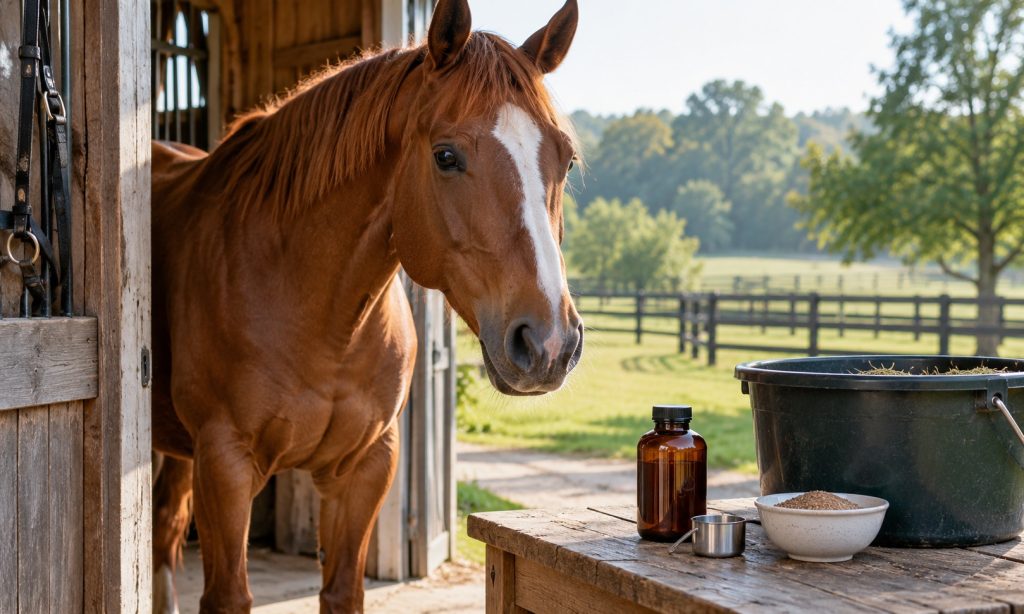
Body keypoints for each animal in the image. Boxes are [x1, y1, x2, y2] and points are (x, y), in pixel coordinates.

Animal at [149, 0, 582, 611]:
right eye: (446, 156)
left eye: (564, 161)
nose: (548, 344)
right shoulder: (225, 465)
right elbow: (229, 594)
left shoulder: (366, 468)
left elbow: (342, 590)